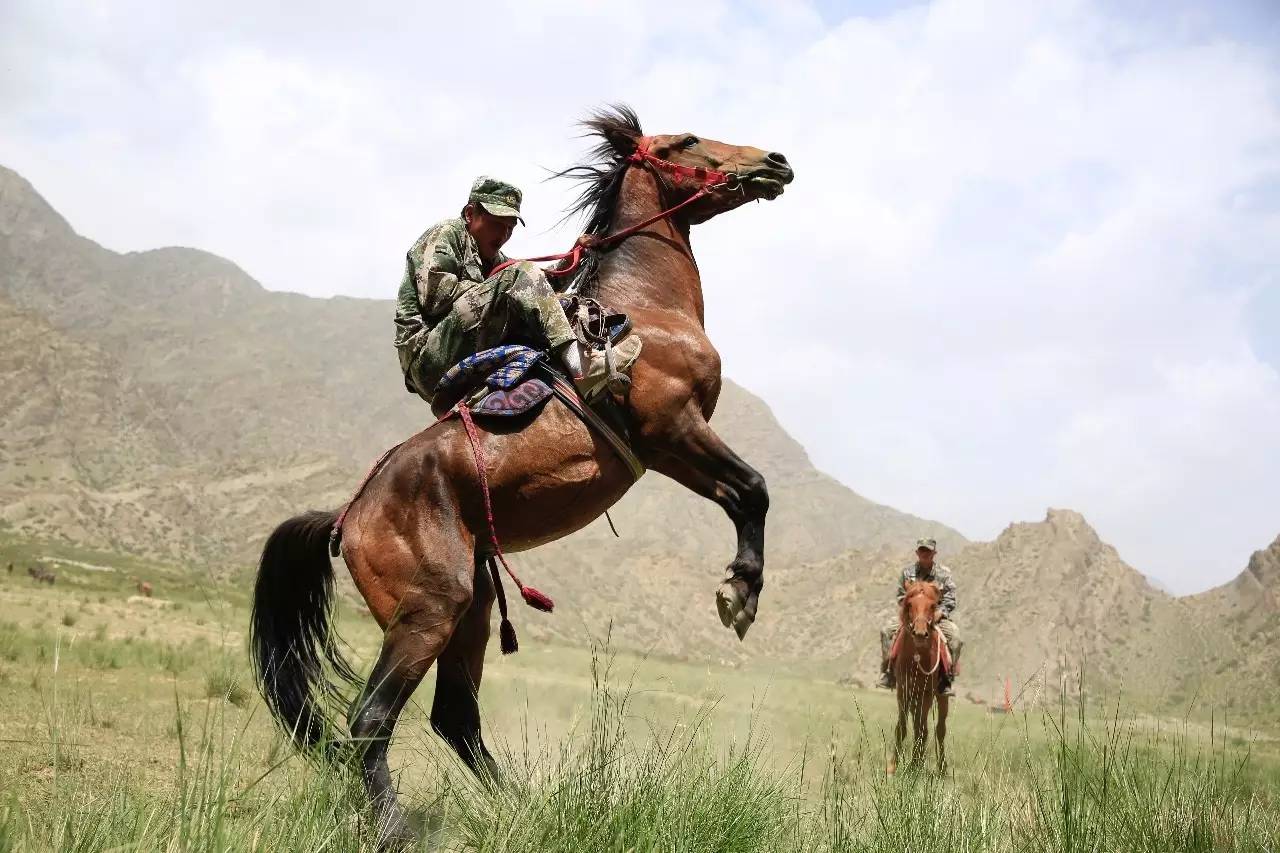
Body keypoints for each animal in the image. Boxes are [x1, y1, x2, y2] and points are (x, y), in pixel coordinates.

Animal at [248, 106, 788, 845]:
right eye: (686, 143)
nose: (774, 162)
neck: (644, 309)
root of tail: (348, 516)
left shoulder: (670, 446)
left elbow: (743, 493)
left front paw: (739, 590)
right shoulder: (673, 431)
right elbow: (752, 489)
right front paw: (739, 594)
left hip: (470, 609)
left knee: (454, 717)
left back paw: (523, 807)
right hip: (427, 613)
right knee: (371, 720)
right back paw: (398, 829)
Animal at [890, 578, 952, 768]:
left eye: (933, 605)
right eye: (909, 603)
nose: (919, 633)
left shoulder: (926, 694)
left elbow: (922, 730)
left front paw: (915, 764)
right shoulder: (903, 692)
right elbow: (902, 727)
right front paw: (893, 765)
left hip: (941, 697)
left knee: (939, 729)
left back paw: (941, 767)